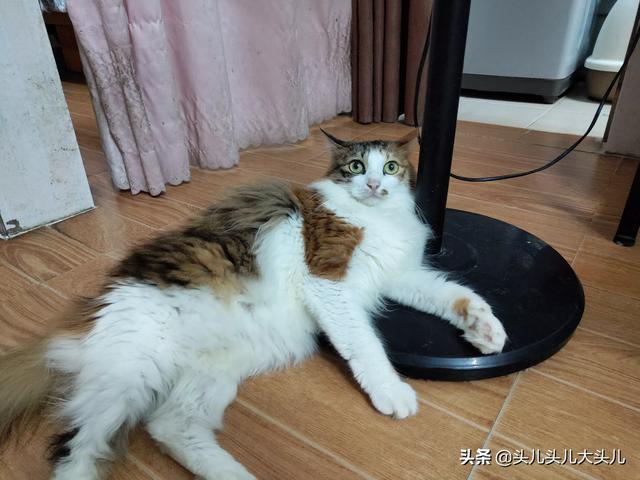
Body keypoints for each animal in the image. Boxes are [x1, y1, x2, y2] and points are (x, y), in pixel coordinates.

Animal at [0, 130, 507, 480]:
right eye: (356, 165)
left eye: (393, 168)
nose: (374, 184)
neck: (378, 217)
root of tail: (91, 314)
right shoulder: (327, 281)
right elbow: (364, 344)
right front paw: (392, 392)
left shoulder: (401, 275)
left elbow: (455, 294)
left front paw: (486, 330)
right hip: (130, 373)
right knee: (74, 450)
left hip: (210, 374)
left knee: (169, 428)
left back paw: (235, 475)